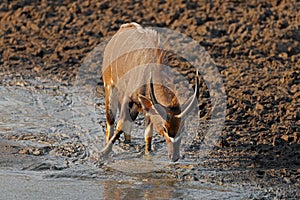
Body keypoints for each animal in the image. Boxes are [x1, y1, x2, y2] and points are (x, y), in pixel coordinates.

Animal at [102, 22, 198, 162]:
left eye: (182, 128)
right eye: (165, 128)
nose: (174, 157)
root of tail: (125, 26)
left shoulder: (148, 106)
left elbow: (148, 134)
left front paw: (148, 155)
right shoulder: (127, 98)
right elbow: (120, 124)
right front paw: (103, 153)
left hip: (136, 105)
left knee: (129, 123)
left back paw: (128, 144)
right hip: (110, 87)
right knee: (111, 121)